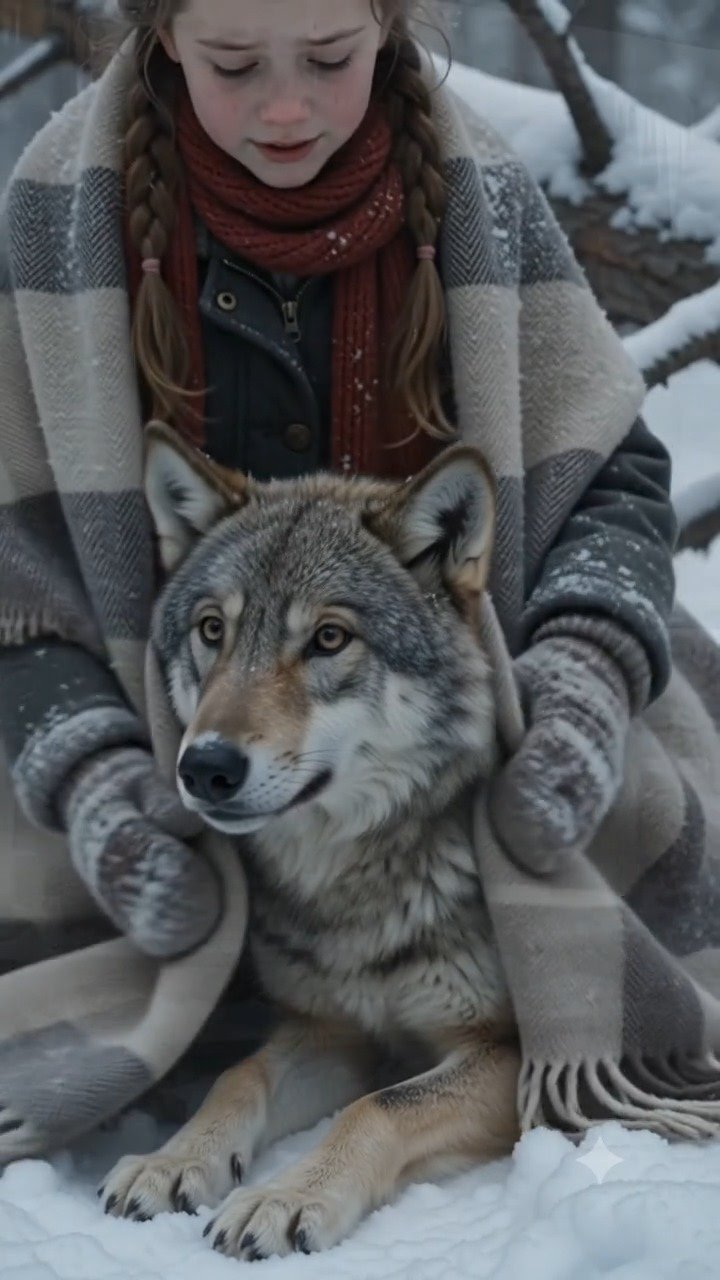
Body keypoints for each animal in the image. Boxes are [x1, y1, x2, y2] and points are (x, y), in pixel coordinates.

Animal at [100, 422, 521, 1260]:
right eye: (212, 630)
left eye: (328, 638)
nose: (206, 766)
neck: (352, 891)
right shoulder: (331, 1028)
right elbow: (239, 1077)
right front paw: (175, 1159)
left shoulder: (511, 1050)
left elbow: (378, 1108)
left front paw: (285, 1197)